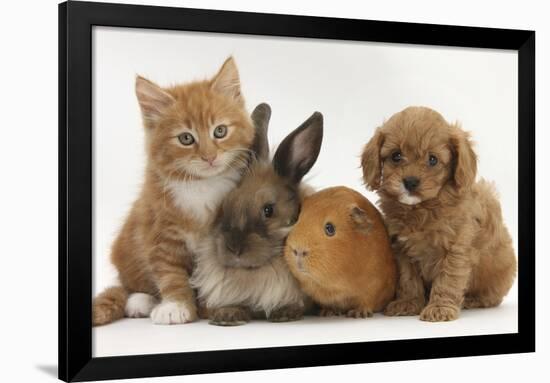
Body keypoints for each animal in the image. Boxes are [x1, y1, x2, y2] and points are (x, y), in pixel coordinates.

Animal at [93, 57, 256, 328]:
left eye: (220, 131)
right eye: (186, 138)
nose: (209, 157)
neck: (202, 185)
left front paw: (217, 305)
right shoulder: (159, 230)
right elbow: (170, 273)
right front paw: (176, 306)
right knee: (128, 286)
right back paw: (140, 302)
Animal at [284, 187, 396, 318]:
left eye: (330, 228)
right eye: (298, 220)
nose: (298, 250)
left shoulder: (376, 287)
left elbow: (367, 302)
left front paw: (358, 314)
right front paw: (327, 312)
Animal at [362, 106, 516, 322]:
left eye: (432, 159)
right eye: (396, 156)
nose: (410, 181)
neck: (422, 209)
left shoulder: (455, 249)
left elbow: (448, 279)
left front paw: (440, 308)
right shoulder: (402, 250)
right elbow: (408, 280)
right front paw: (408, 303)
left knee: (491, 297)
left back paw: (472, 300)